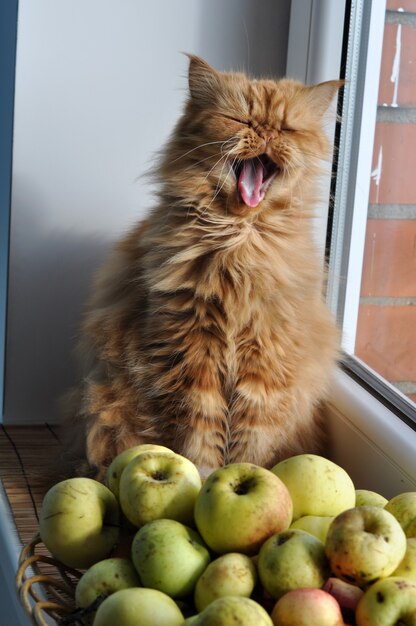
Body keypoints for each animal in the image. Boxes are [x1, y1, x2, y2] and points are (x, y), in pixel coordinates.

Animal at [61, 54, 342, 478]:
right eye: (240, 120)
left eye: (286, 128)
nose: (266, 133)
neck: (239, 242)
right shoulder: (191, 352)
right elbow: (199, 431)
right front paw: (206, 475)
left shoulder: (265, 358)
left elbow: (251, 435)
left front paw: (247, 472)